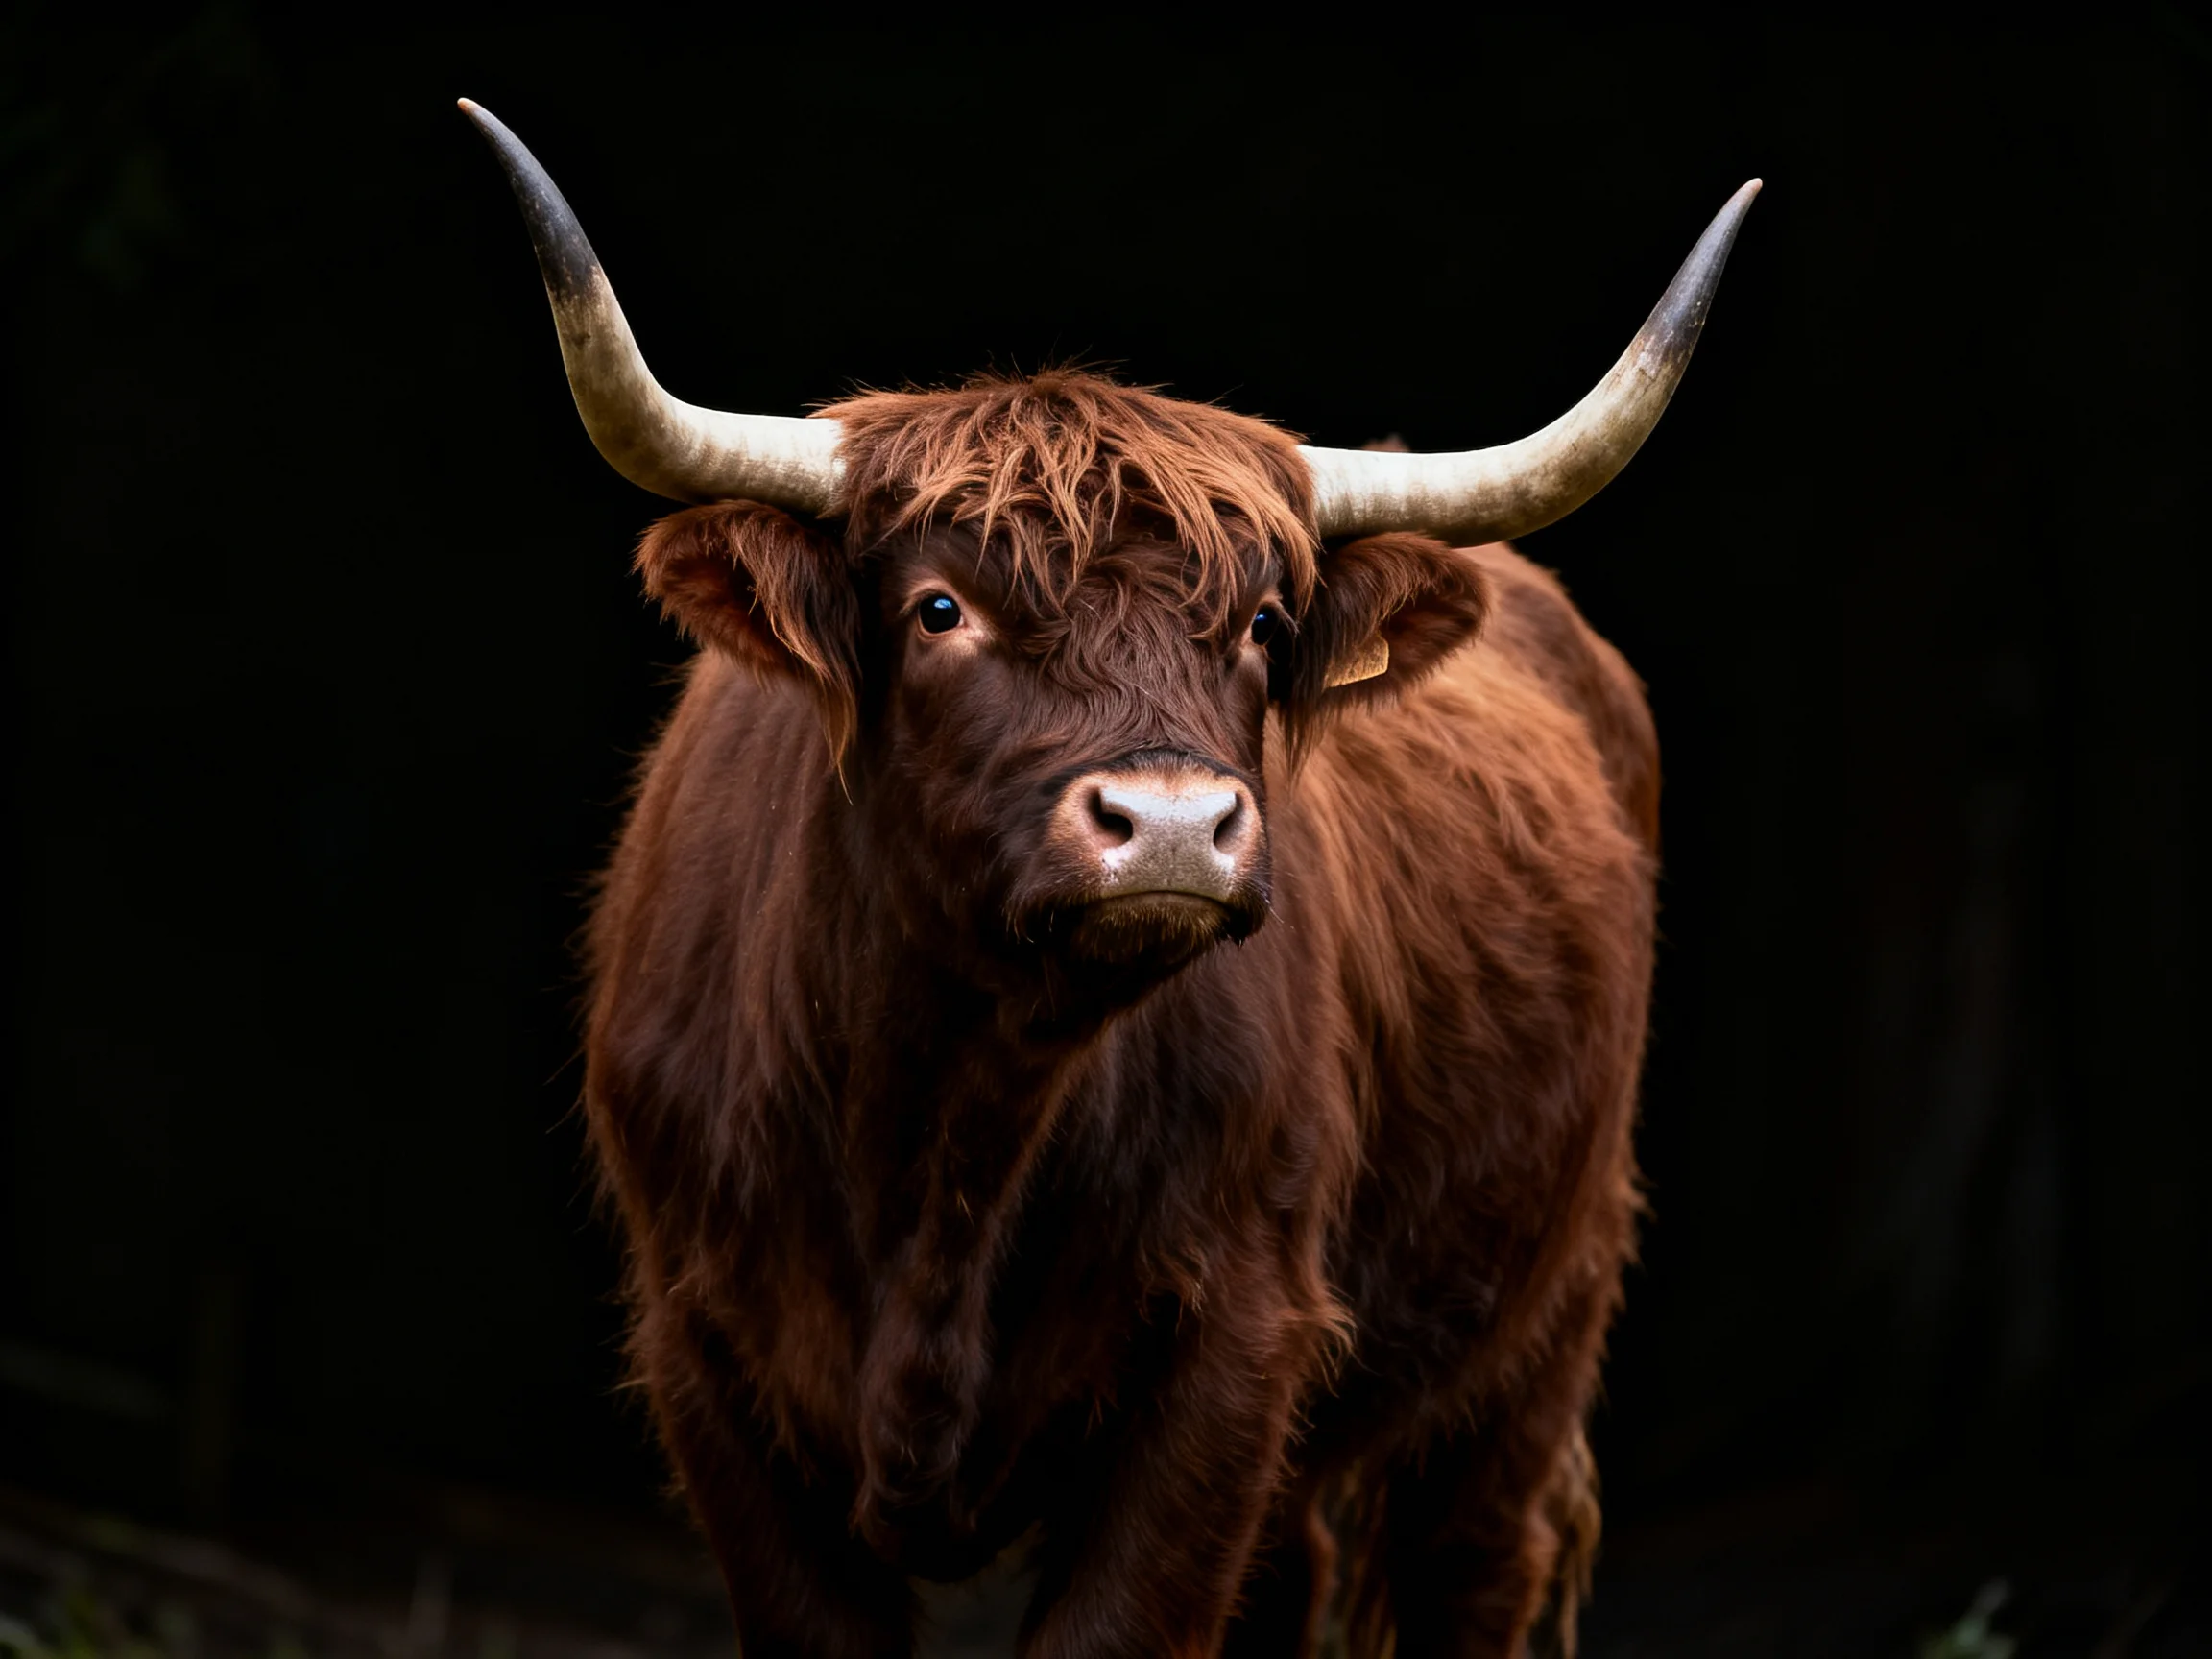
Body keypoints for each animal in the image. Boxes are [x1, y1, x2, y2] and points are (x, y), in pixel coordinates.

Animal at [461, 100, 1755, 1659]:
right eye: (938, 608)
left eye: (1264, 623)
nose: (1178, 823)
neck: (950, 1129)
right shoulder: (703, 1354)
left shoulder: (1232, 1344)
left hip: (1541, 1314)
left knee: (1475, 1561)